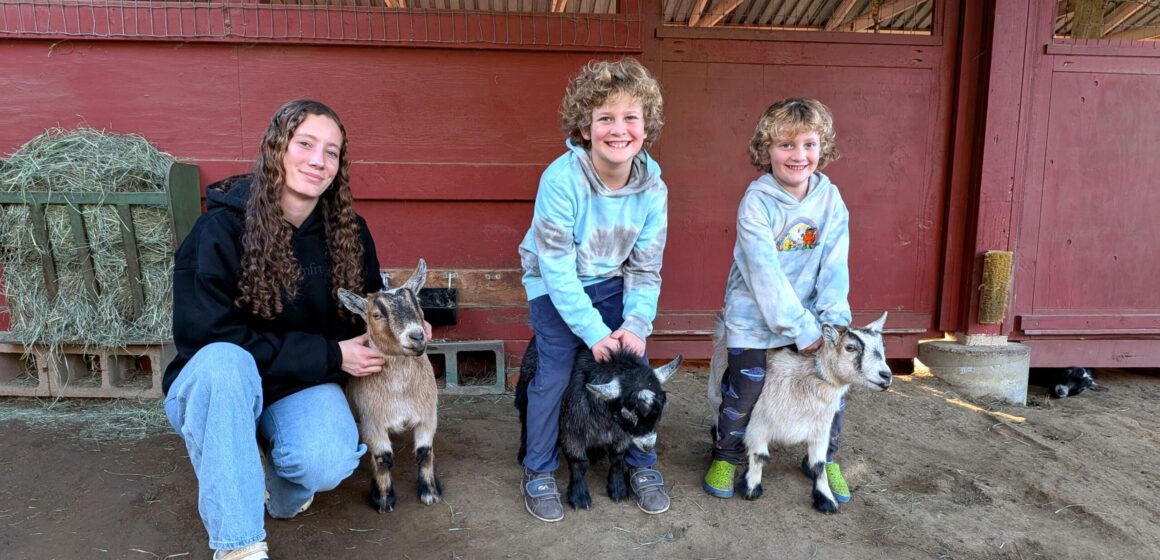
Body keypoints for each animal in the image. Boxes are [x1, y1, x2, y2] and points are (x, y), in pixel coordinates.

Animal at [337, 259, 441, 513]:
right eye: (377, 314)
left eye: (418, 303)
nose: (417, 336)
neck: (400, 393)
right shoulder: (372, 421)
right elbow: (382, 458)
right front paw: (384, 500)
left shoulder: (427, 415)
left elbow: (425, 453)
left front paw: (430, 493)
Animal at [516, 341, 682, 510]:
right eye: (628, 414)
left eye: (659, 411)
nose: (648, 446)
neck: (608, 419)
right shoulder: (571, 430)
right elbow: (578, 462)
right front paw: (579, 496)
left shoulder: (623, 434)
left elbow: (617, 458)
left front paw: (618, 489)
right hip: (524, 395)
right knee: (526, 421)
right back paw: (523, 454)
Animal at [708, 313, 892, 514]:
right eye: (850, 347)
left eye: (882, 347)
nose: (886, 376)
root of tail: (723, 332)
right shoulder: (758, 424)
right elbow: (760, 456)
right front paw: (751, 489)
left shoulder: (820, 431)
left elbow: (819, 465)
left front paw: (826, 500)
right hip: (717, 390)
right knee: (720, 416)